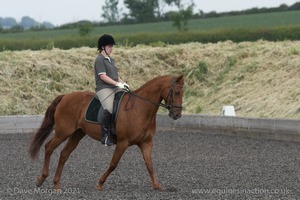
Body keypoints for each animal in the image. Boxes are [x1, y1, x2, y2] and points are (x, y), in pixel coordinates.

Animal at [28, 74, 183, 191]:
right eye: (176, 92)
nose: (177, 115)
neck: (140, 108)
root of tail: (65, 96)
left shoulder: (146, 143)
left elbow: (149, 165)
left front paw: (157, 186)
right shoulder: (123, 142)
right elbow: (113, 164)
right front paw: (100, 183)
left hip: (77, 134)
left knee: (64, 154)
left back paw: (57, 184)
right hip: (63, 132)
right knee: (49, 147)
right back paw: (41, 179)